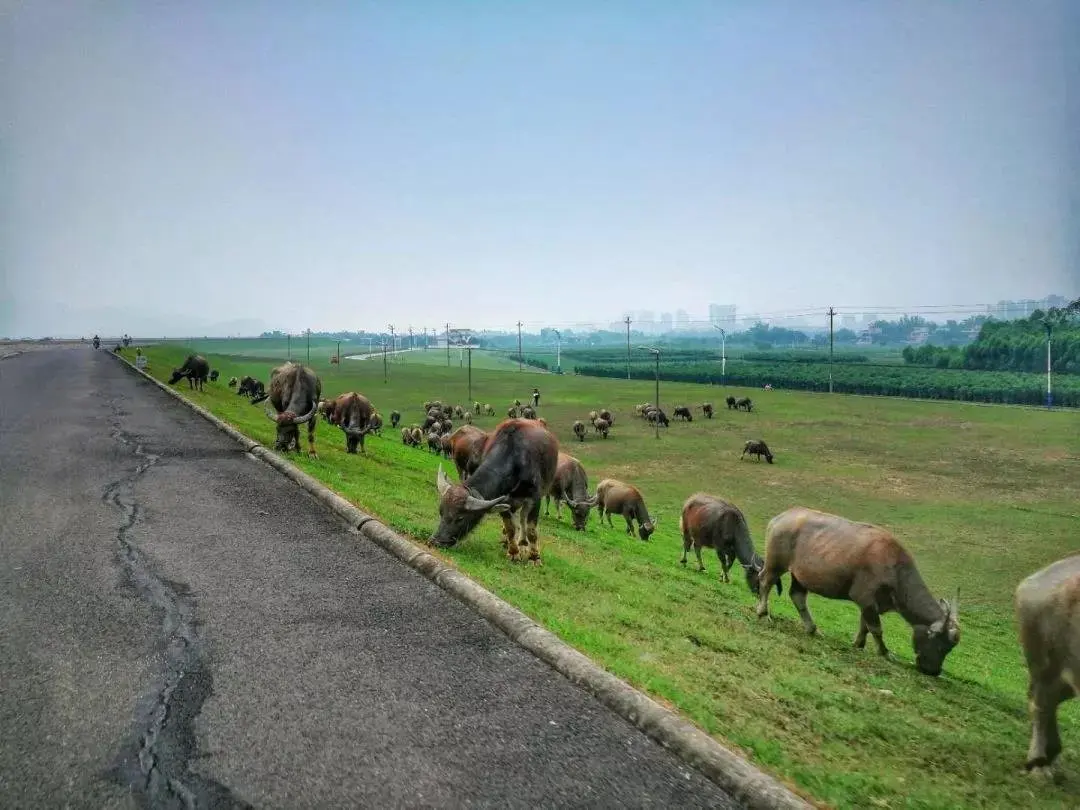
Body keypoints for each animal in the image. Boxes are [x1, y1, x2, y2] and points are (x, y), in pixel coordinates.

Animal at [751, 509, 963, 673]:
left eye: (949, 648)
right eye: (940, 644)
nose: (933, 671)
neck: (895, 567)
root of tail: (780, 518)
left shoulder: (870, 603)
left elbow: (865, 625)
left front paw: (858, 644)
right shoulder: (865, 597)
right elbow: (876, 628)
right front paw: (884, 652)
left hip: (800, 575)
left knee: (797, 596)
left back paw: (812, 628)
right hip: (776, 564)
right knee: (765, 581)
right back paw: (763, 613)